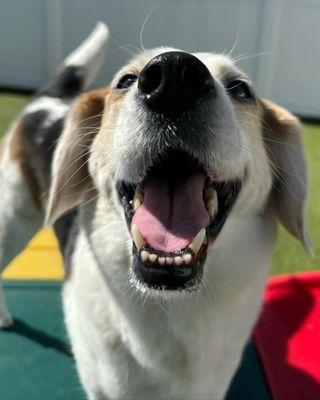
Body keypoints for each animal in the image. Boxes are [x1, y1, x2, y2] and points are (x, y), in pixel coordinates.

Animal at [0, 22, 310, 400]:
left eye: (241, 90)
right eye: (125, 81)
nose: (173, 76)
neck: (168, 306)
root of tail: (50, 99)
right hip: (13, 220)